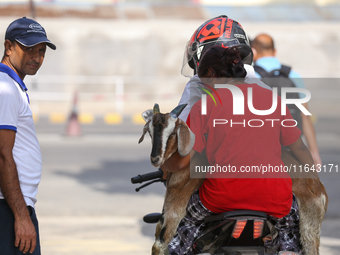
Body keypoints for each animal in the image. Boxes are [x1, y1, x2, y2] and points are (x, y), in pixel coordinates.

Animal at [139, 103, 328, 255]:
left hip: (309, 228)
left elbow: (160, 244)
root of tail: (319, 188)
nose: (155, 159)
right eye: (150, 133)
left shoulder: (176, 204)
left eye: (172, 134)